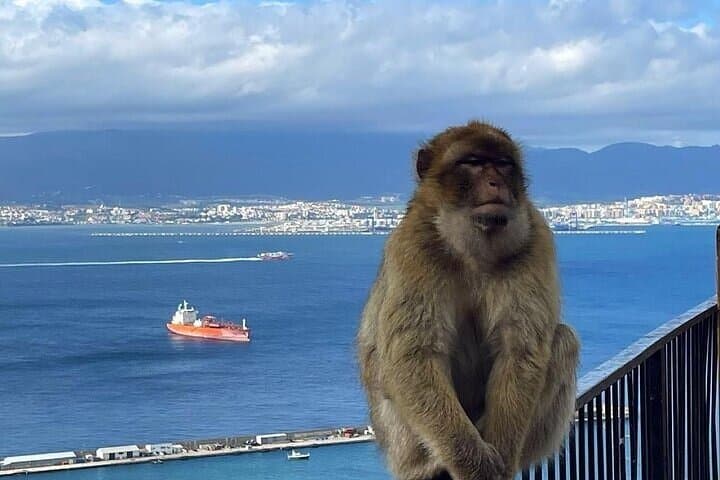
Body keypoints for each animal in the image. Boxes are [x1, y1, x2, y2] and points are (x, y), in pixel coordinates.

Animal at [357, 121, 579, 480]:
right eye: (473, 162)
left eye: (502, 164)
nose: (495, 182)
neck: (474, 247)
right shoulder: (414, 246)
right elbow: (414, 355)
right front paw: (476, 467)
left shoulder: (535, 239)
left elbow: (519, 349)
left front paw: (497, 459)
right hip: (402, 444)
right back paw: (431, 464)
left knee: (563, 341)